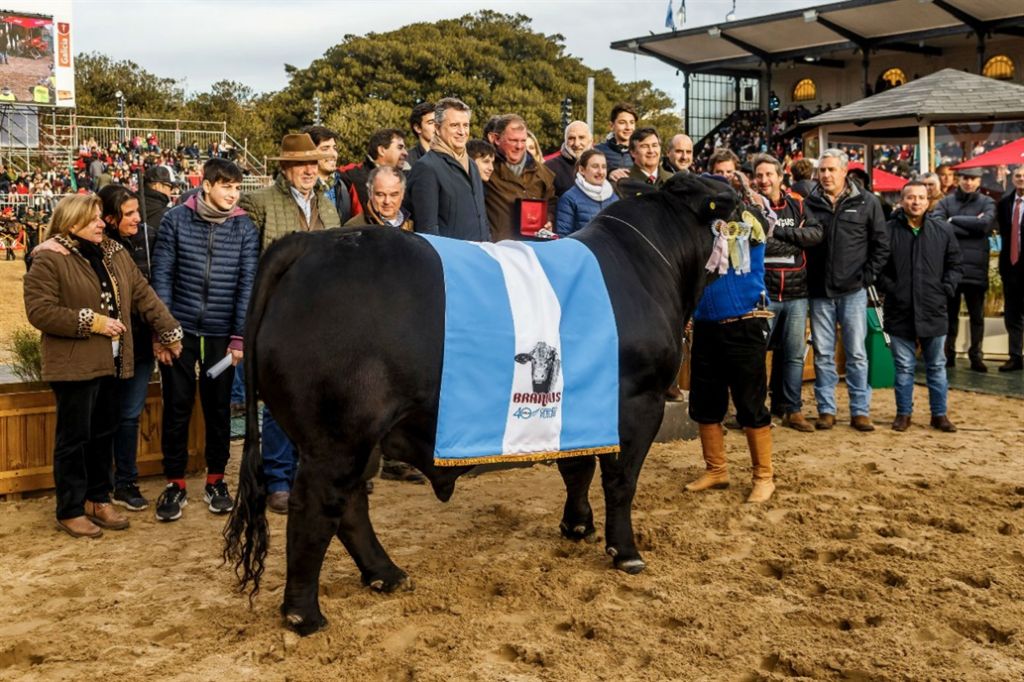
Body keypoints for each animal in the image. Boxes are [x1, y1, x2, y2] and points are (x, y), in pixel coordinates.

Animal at [224, 169, 741, 630]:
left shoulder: (580, 407)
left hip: (357, 438)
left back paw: (386, 574)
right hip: (337, 434)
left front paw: (577, 526)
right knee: (316, 507)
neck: (647, 264)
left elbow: (576, 467)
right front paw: (625, 551)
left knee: (349, 506)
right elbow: (621, 480)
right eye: (726, 196)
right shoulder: (638, 400)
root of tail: (309, 244)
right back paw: (304, 614)